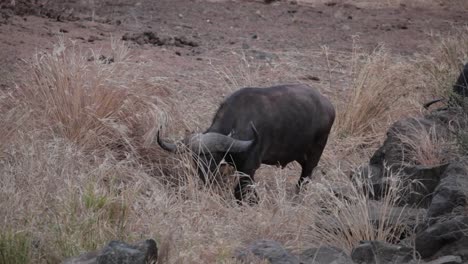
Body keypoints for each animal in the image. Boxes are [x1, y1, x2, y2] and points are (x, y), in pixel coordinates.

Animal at [159, 83, 334, 203]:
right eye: (194, 158)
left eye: (213, 157)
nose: (205, 174)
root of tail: (329, 106)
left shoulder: (249, 169)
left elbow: (241, 191)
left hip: (315, 153)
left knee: (305, 177)